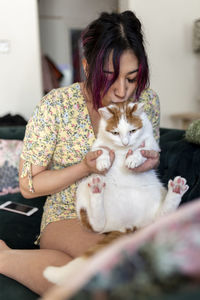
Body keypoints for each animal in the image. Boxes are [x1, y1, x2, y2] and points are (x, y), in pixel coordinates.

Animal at [43, 100, 189, 284]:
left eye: (132, 131)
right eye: (115, 133)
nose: (126, 143)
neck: (122, 150)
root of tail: (128, 226)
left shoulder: (152, 146)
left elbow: (141, 150)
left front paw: (134, 158)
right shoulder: (98, 145)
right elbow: (104, 150)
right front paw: (103, 161)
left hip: (157, 192)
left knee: (161, 216)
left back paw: (176, 189)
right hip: (84, 188)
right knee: (97, 223)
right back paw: (97, 190)